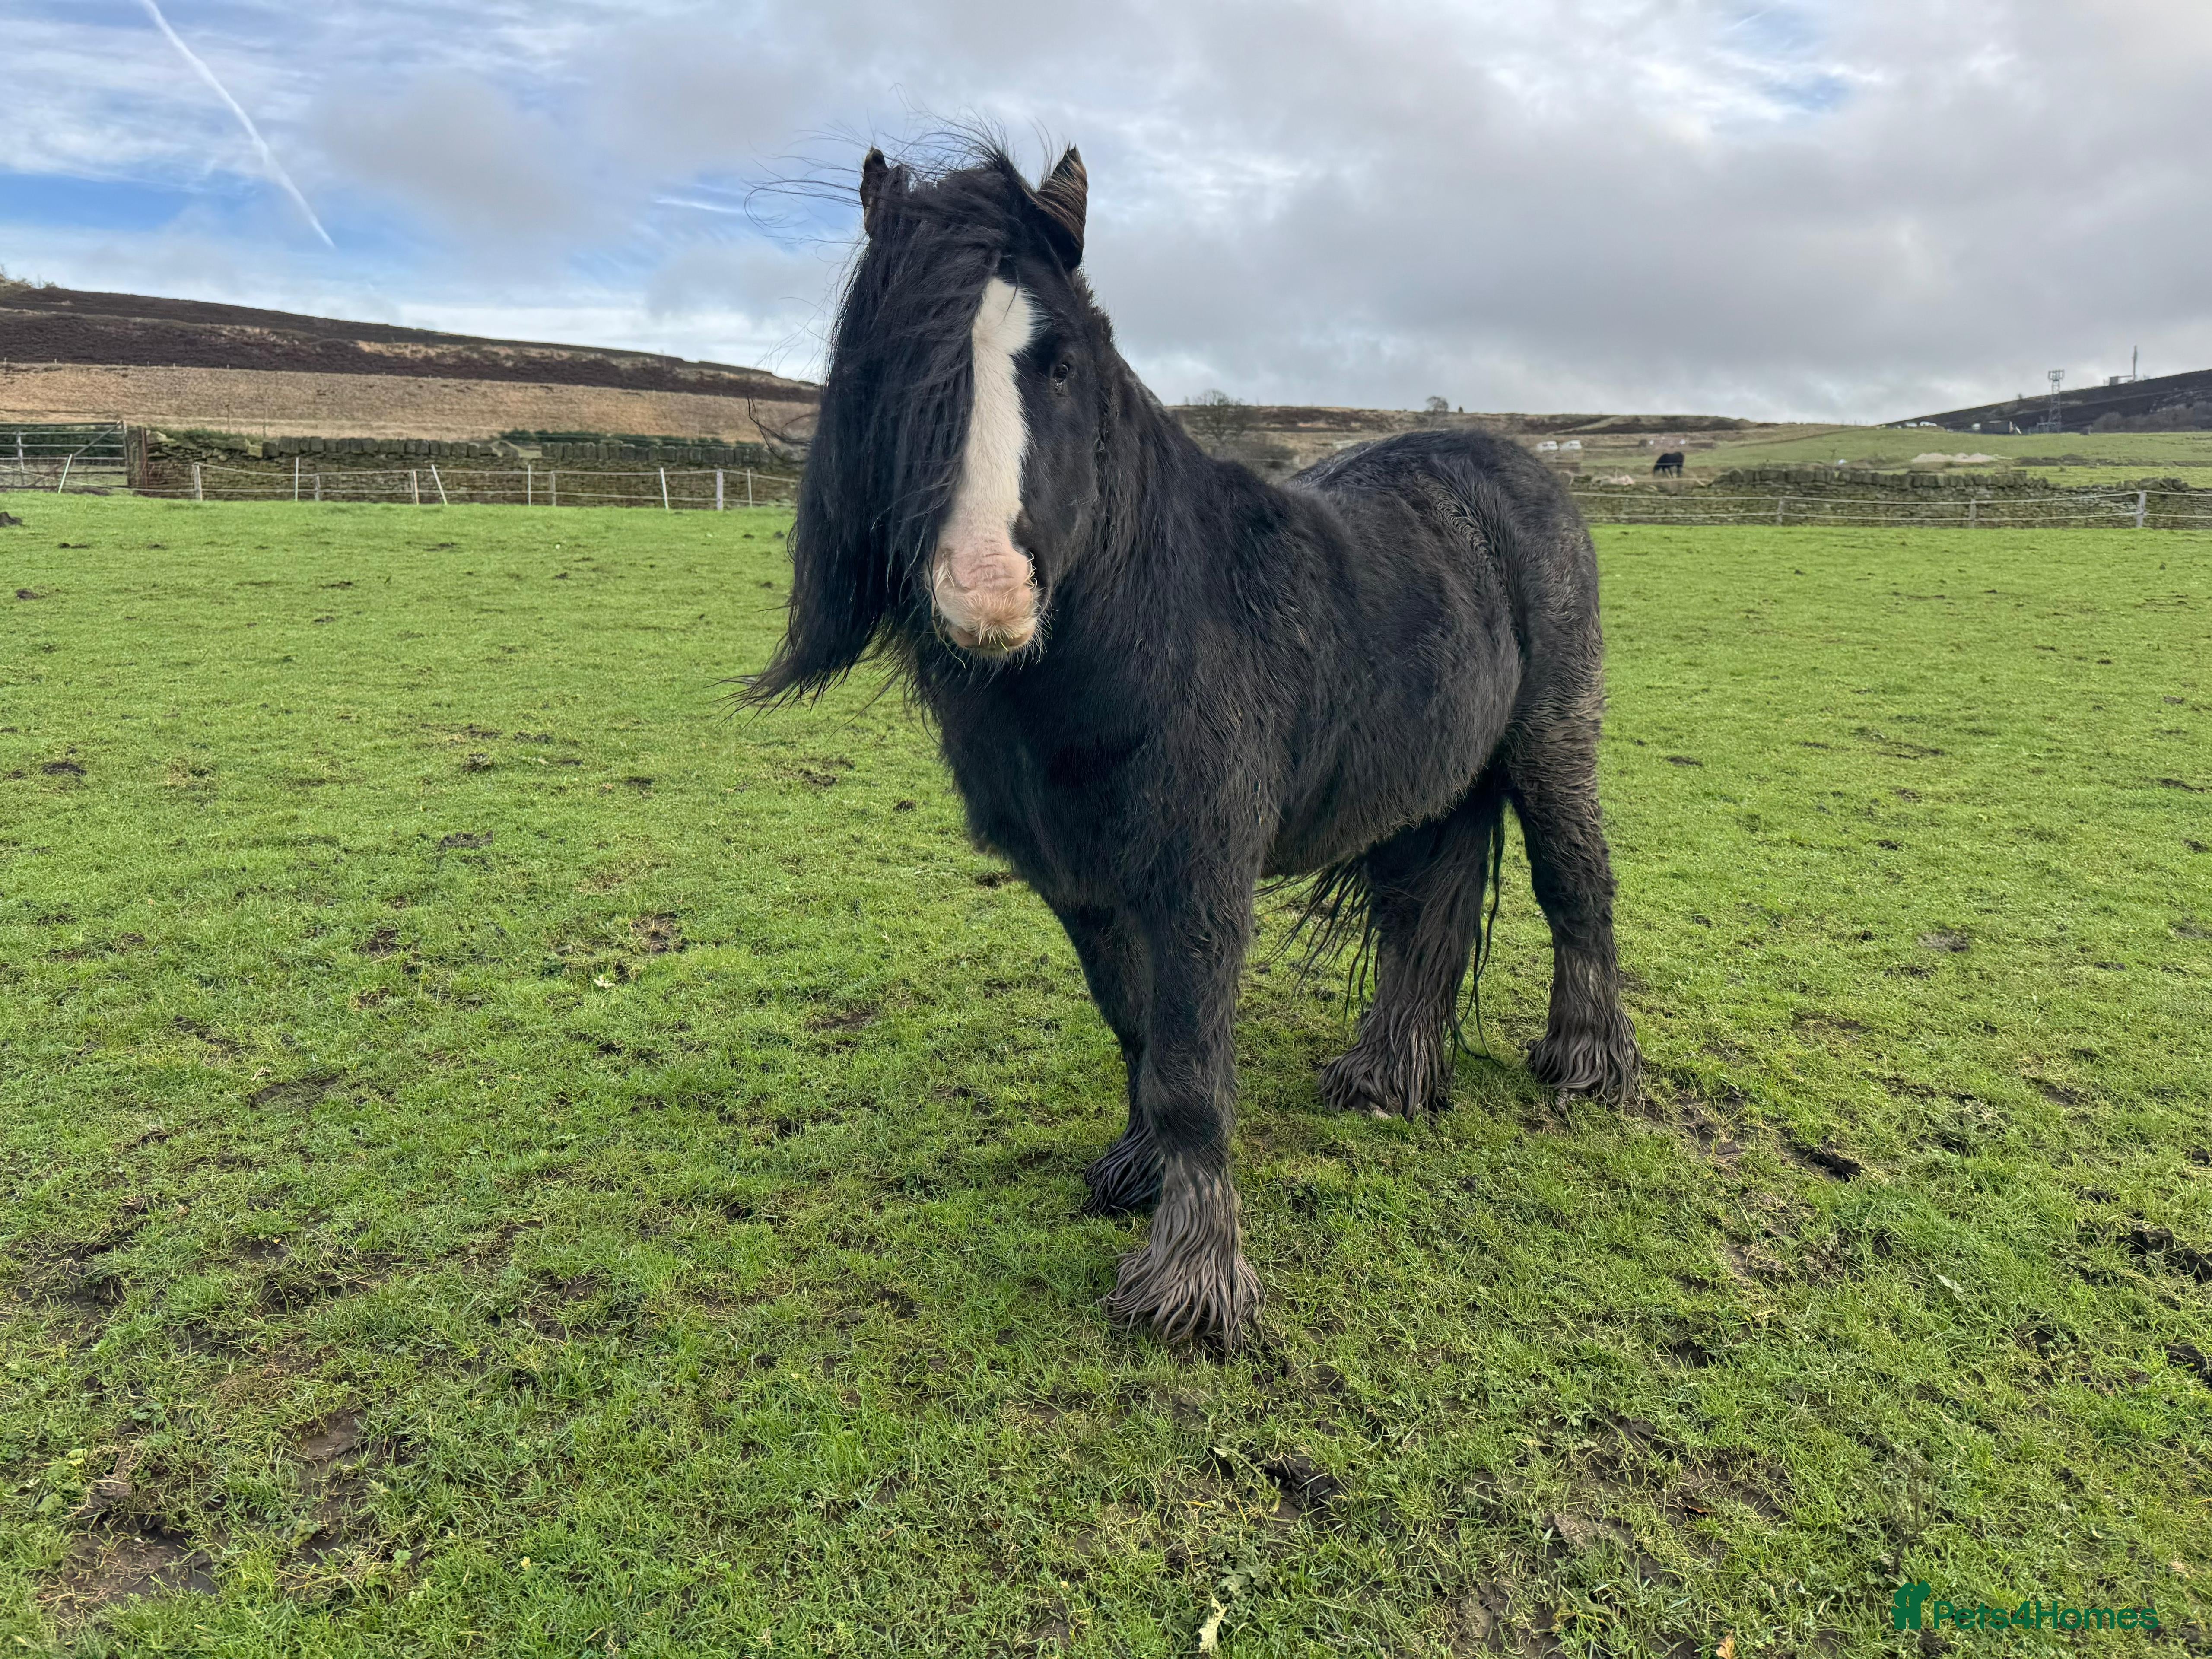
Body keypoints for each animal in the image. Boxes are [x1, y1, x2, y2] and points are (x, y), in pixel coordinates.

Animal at [746, 145, 1641, 1352]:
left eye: (1062, 363)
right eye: (890, 368)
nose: (987, 591)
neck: (1141, 638)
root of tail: (1507, 464)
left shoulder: (1201, 876)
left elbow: (1188, 1068)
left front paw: (1193, 1278)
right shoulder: (1082, 887)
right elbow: (1136, 1030)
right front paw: (1138, 1171)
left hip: (1551, 746)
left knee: (1575, 888)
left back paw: (1588, 1064)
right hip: (1425, 785)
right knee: (1421, 921)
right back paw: (1386, 1074)